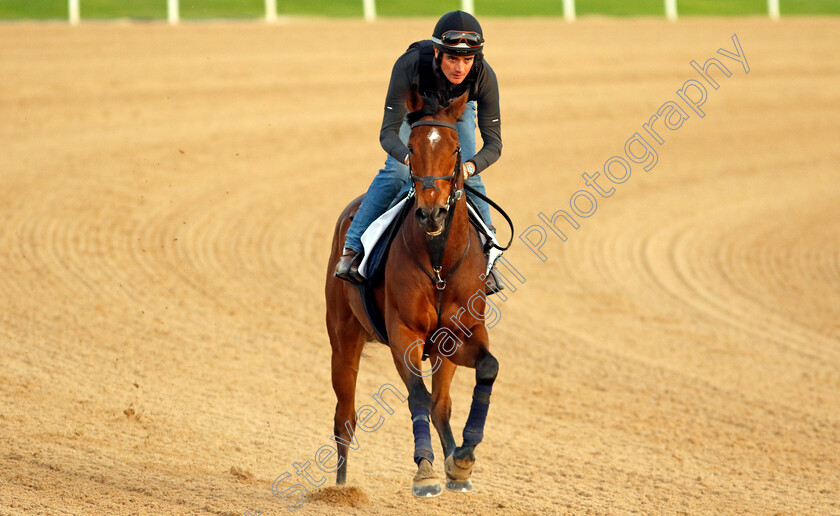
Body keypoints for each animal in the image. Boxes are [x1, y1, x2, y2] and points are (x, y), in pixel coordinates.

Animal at [324, 87, 498, 496]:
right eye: (412, 147)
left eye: (456, 148)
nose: (431, 213)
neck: (438, 264)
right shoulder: (405, 333)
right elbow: (417, 395)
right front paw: (425, 472)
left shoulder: (458, 335)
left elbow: (484, 369)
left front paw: (461, 460)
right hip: (343, 337)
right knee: (345, 417)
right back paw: (339, 488)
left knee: (441, 404)